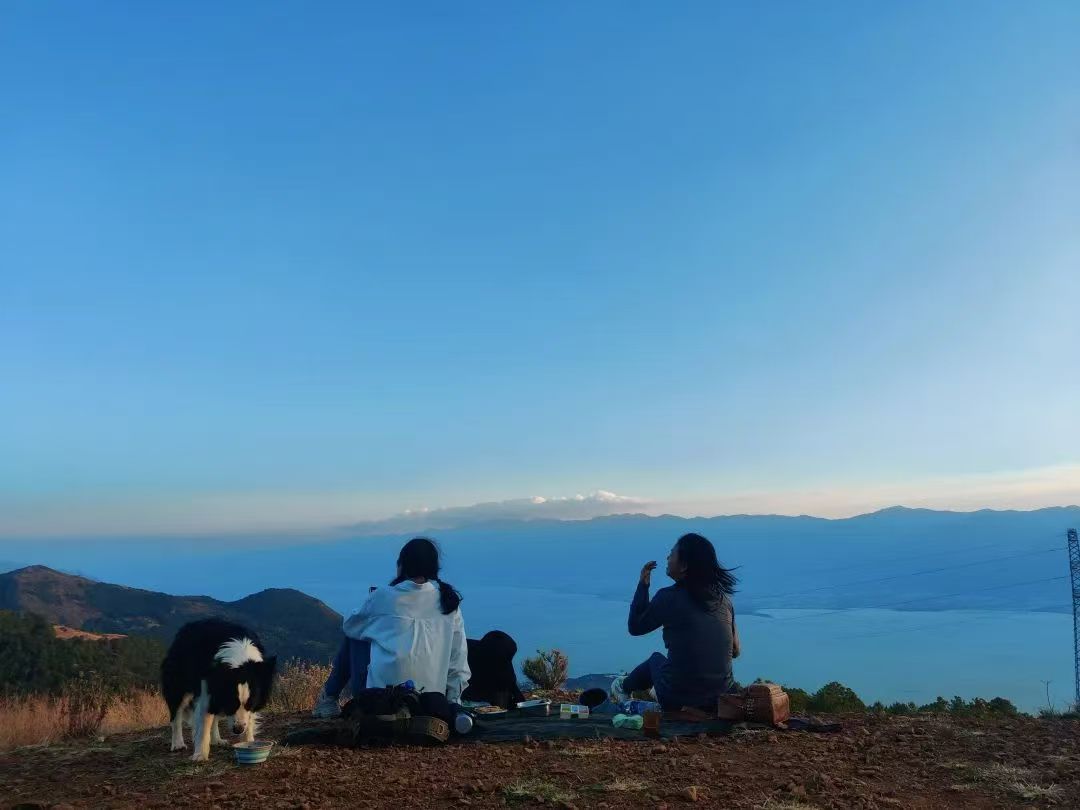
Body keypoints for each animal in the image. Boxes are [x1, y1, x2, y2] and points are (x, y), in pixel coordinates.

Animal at [162, 622, 278, 760]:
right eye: (231, 704)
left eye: (251, 704)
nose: (238, 730)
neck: (240, 658)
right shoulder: (208, 688)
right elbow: (204, 722)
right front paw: (200, 755)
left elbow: (248, 718)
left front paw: (248, 742)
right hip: (177, 680)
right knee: (176, 712)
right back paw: (178, 744)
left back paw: (217, 740)